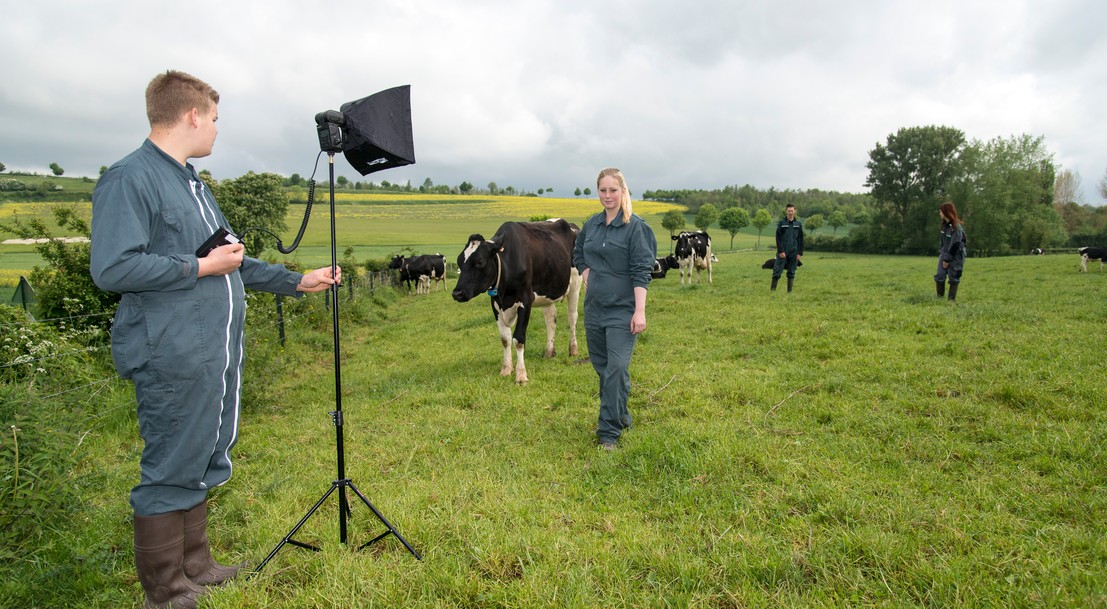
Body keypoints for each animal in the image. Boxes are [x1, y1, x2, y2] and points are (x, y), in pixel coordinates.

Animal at [453, 219, 584, 385]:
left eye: (480, 262)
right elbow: (505, 339)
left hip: (575, 285)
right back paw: (549, 351)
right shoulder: (496, 304)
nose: (457, 293)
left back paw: (573, 349)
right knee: (551, 320)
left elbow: (518, 339)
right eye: (459, 262)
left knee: (572, 318)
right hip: (548, 293)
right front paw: (506, 369)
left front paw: (521, 375)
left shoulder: (526, 300)